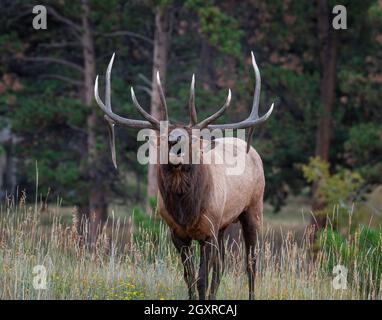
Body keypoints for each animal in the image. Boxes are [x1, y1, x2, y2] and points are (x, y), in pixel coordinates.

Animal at [95, 52, 274, 300]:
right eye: (164, 136)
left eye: (191, 138)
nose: (175, 141)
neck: (186, 212)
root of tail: (253, 151)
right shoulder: (178, 233)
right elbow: (189, 277)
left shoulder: (208, 231)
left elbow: (202, 278)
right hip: (223, 224)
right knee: (221, 267)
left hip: (253, 209)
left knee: (251, 263)